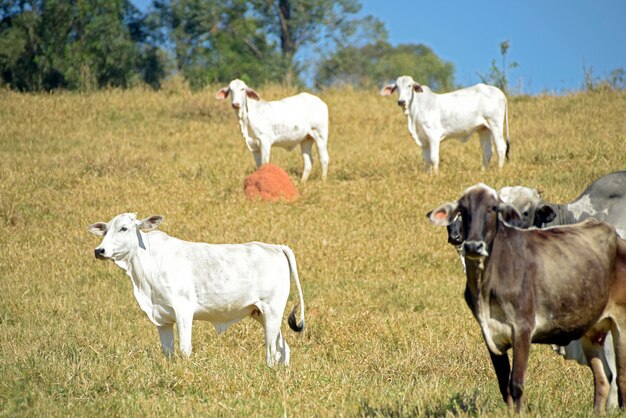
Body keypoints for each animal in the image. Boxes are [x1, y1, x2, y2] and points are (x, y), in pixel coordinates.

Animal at [88, 212, 304, 366]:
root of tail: (275, 246)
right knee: (283, 348)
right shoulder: (162, 319)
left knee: (271, 350)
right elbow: (168, 352)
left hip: (272, 310)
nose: (99, 251)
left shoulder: (183, 311)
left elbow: (184, 350)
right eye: (105, 231)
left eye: (123, 228)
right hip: (260, 313)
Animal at [380, 75, 508, 175]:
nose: (401, 101)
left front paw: (435, 176)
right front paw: (428, 175)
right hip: (484, 129)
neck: (414, 112)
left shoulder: (433, 136)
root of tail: (499, 92)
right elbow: (426, 160)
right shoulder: (424, 140)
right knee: (487, 151)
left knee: (501, 148)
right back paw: (483, 172)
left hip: (495, 125)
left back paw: (499, 172)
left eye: (409, 86)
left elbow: (434, 158)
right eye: (397, 87)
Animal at [426, 184, 624, 414]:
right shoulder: (490, 334)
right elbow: (504, 385)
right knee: (604, 377)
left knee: (619, 378)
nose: (470, 244)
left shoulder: (522, 329)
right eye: (461, 211)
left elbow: (516, 384)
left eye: (494, 209)